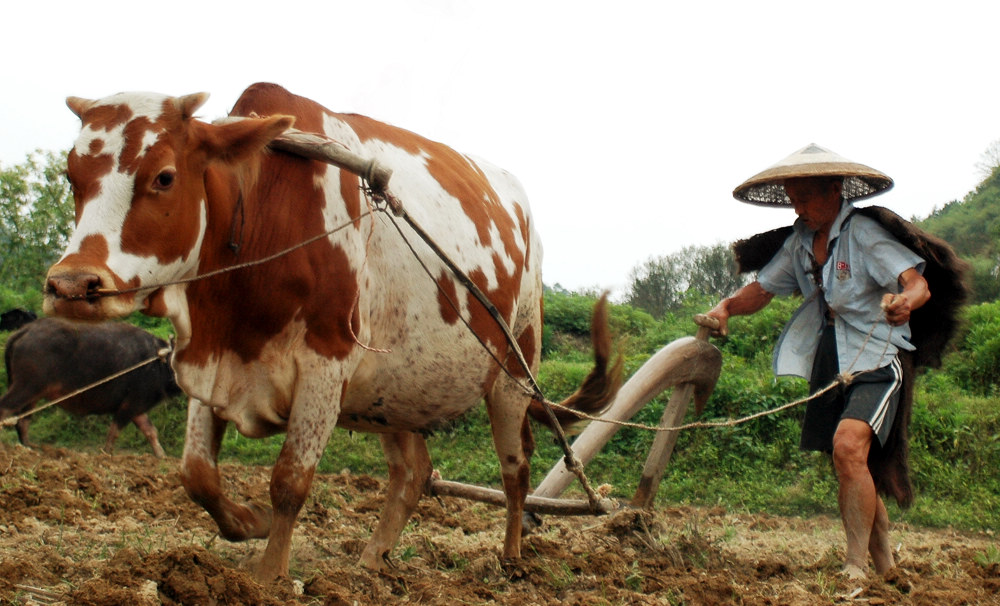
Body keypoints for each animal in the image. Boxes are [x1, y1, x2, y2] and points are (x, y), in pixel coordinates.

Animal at [0, 318, 180, 456]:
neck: (158, 362)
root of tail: (25, 331)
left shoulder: (135, 406)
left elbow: (150, 431)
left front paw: (161, 456)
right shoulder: (131, 404)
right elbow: (114, 431)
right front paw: (107, 452)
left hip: (32, 393)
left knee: (23, 420)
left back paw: (30, 447)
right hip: (26, 387)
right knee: (6, 408)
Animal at [47, 83, 620, 580]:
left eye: (164, 176)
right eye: (72, 176)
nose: (72, 284)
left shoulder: (325, 363)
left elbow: (289, 482)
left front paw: (269, 577)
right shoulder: (213, 361)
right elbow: (197, 473)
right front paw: (248, 522)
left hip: (513, 372)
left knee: (515, 467)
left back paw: (511, 559)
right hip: (397, 389)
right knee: (412, 473)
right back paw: (370, 563)